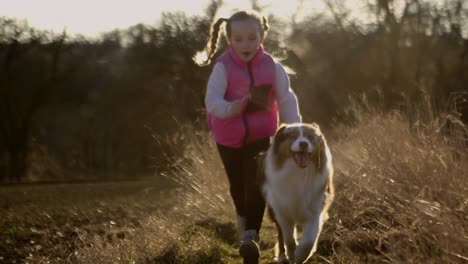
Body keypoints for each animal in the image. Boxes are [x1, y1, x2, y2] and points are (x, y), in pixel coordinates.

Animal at [258, 122, 334, 262]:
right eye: (292, 136)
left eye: (310, 137)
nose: (303, 144)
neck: (298, 172)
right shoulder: (282, 212)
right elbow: (288, 239)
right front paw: (291, 254)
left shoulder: (315, 211)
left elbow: (308, 242)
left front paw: (300, 255)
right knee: (281, 235)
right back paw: (282, 256)